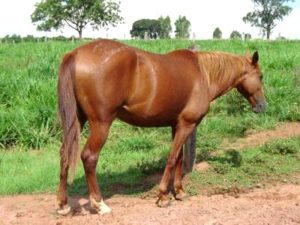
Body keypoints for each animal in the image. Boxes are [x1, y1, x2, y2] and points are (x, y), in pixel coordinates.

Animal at [56, 38, 268, 214]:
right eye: (261, 76)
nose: (263, 106)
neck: (203, 74)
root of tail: (75, 54)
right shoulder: (187, 124)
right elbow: (172, 158)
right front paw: (163, 196)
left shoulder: (177, 125)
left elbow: (180, 158)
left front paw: (180, 192)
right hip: (101, 123)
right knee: (89, 157)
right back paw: (99, 204)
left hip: (77, 121)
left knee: (65, 154)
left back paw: (63, 205)